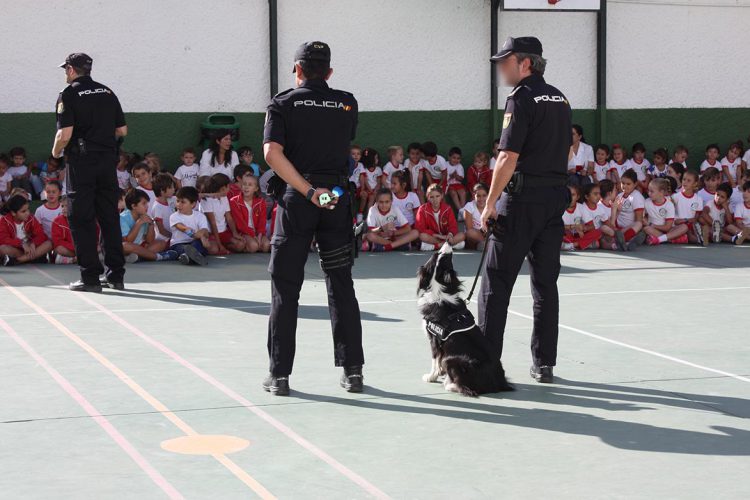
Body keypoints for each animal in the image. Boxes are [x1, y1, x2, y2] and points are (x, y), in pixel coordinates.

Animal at [418, 244, 516, 396]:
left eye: (439, 255)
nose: (448, 242)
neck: (439, 289)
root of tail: (500, 383)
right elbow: (438, 362)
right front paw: (439, 374)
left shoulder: (434, 339)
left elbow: (435, 360)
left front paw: (431, 377)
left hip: (452, 359)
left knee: (470, 389)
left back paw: (450, 385)